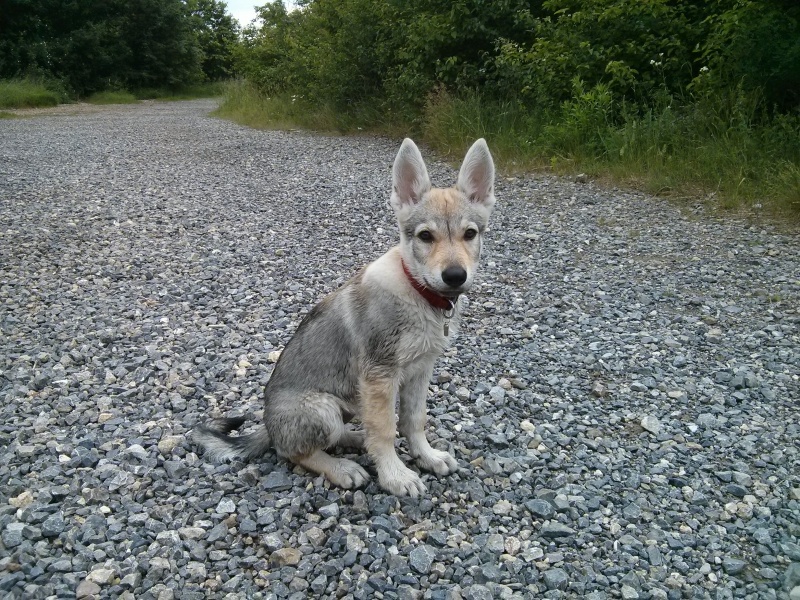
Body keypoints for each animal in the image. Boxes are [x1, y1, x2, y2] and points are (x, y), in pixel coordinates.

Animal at [194, 137, 494, 496]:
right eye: (425, 236)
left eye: (470, 234)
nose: (455, 276)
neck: (418, 294)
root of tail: (268, 425)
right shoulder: (380, 377)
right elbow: (385, 431)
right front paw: (396, 476)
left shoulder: (420, 371)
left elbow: (414, 420)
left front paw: (427, 456)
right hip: (323, 409)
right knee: (294, 452)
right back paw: (342, 468)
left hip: (348, 405)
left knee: (337, 435)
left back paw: (355, 440)